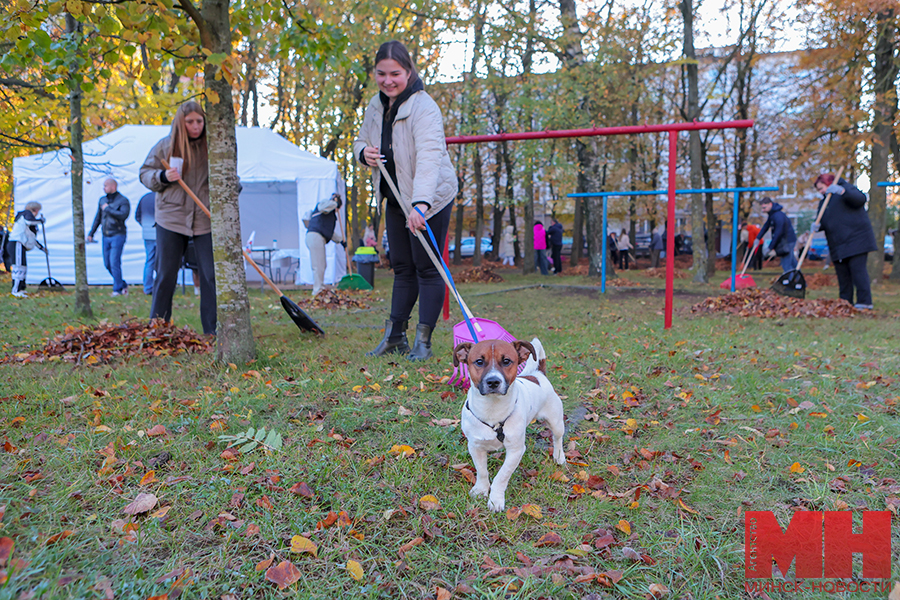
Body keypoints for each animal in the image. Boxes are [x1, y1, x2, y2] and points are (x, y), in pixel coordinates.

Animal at [454, 338, 568, 510]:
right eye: (479, 361)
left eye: (506, 361)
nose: (493, 381)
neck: (492, 410)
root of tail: (537, 374)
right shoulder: (475, 446)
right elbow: (482, 471)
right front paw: (481, 489)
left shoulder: (516, 450)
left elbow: (502, 476)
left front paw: (495, 499)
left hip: (556, 422)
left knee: (557, 438)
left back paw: (559, 455)